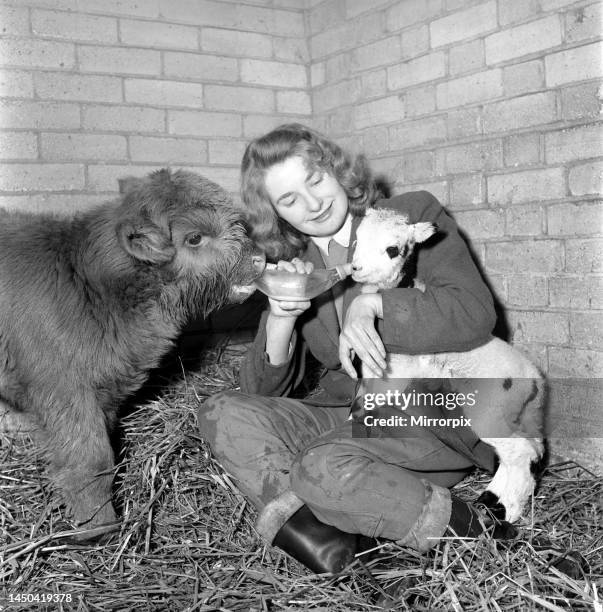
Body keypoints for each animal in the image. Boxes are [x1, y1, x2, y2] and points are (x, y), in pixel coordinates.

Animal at [352, 208, 544, 524]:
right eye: (356, 238)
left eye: (393, 249)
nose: (356, 268)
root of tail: (534, 381)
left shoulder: (395, 373)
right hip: (520, 416)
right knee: (531, 450)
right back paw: (494, 500)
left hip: (489, 411)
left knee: (519, 453)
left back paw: (506, 510)